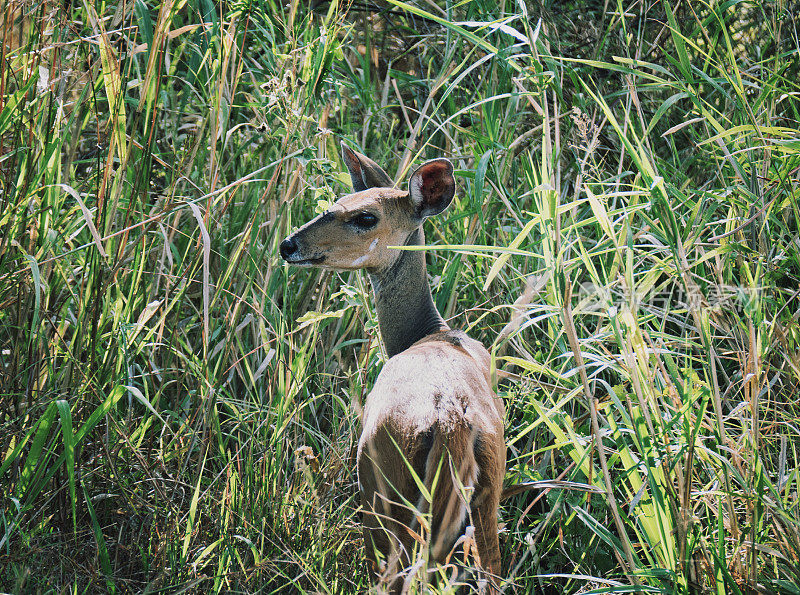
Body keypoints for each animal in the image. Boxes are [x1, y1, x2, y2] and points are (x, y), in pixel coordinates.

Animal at [282, 143, 504, 592]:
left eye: (366, 217)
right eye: (338, 201)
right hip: (487, 493)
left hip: (382, 492)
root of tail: (450, 420)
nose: (288, 245)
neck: (428, 332)